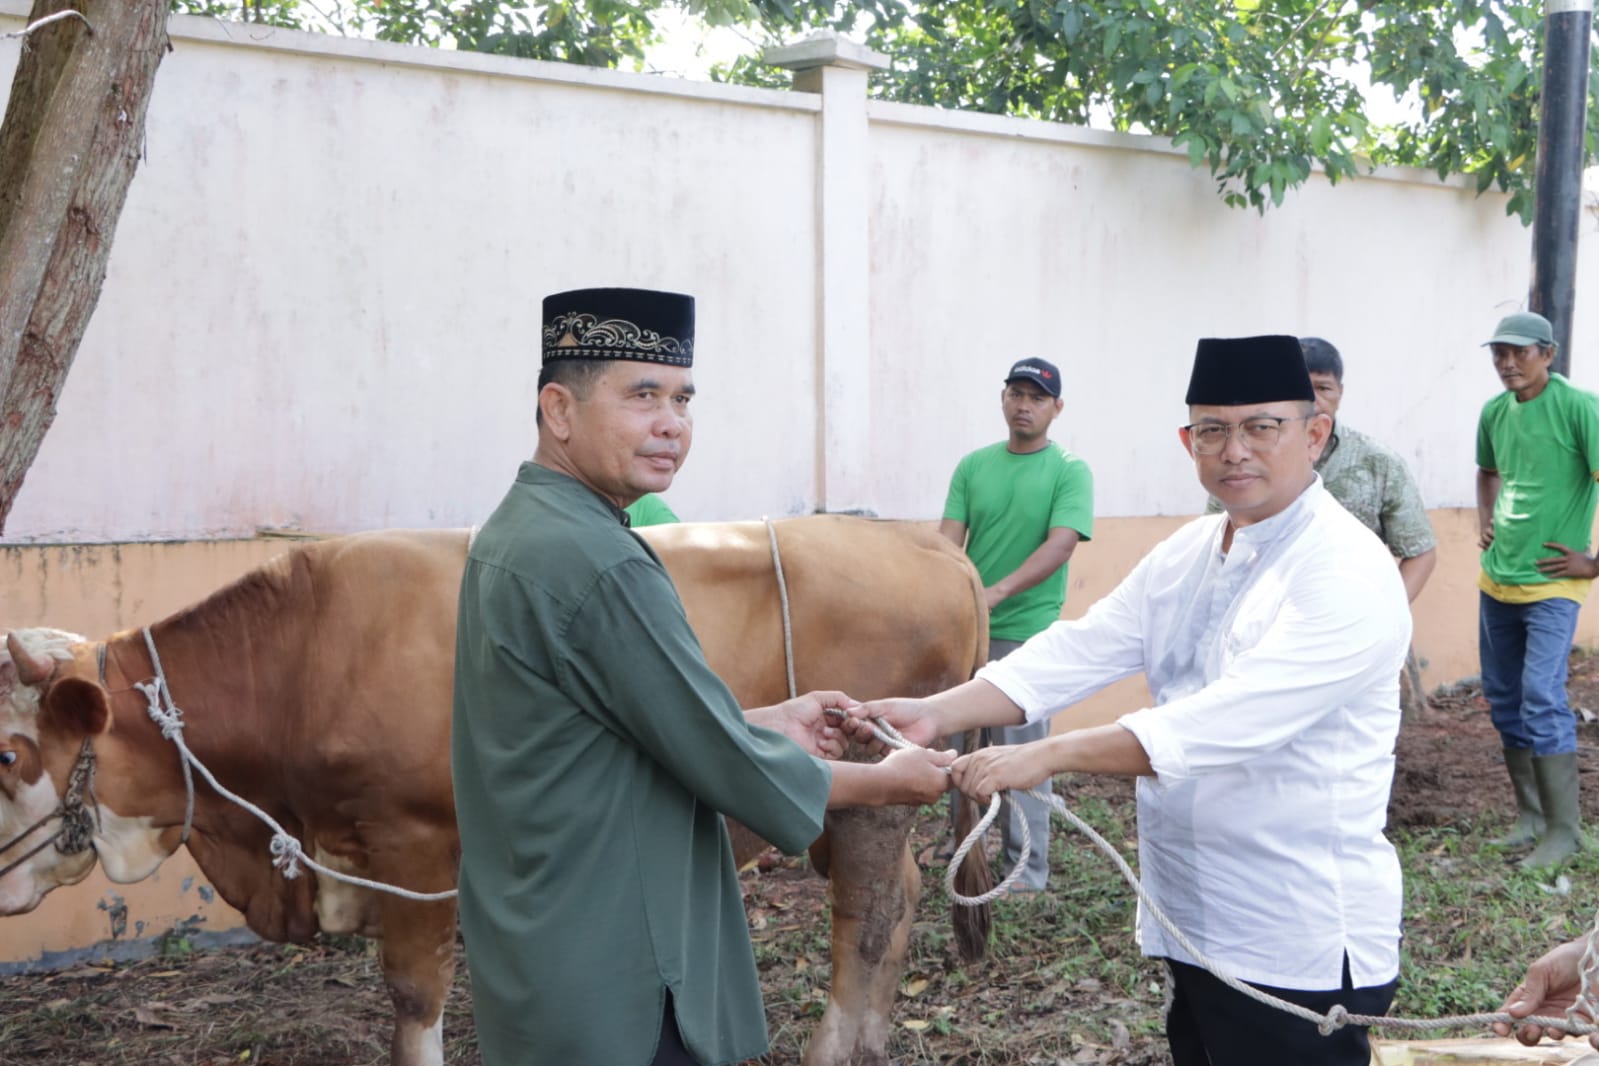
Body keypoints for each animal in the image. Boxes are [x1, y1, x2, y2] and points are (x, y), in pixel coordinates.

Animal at [0, 517, 984, 1066]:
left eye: (9, 755)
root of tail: (923, 541)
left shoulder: (413, 840)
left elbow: (412, 996)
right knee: (900, 897)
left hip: (868, 802)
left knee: (865, 922)